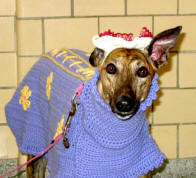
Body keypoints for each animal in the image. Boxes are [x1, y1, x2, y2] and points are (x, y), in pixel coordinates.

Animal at [4, 25, 182, 177]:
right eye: (111, 68)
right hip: (36, 147)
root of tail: (53, 50)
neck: (115, 136)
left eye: (143, 71)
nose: (124, 104)